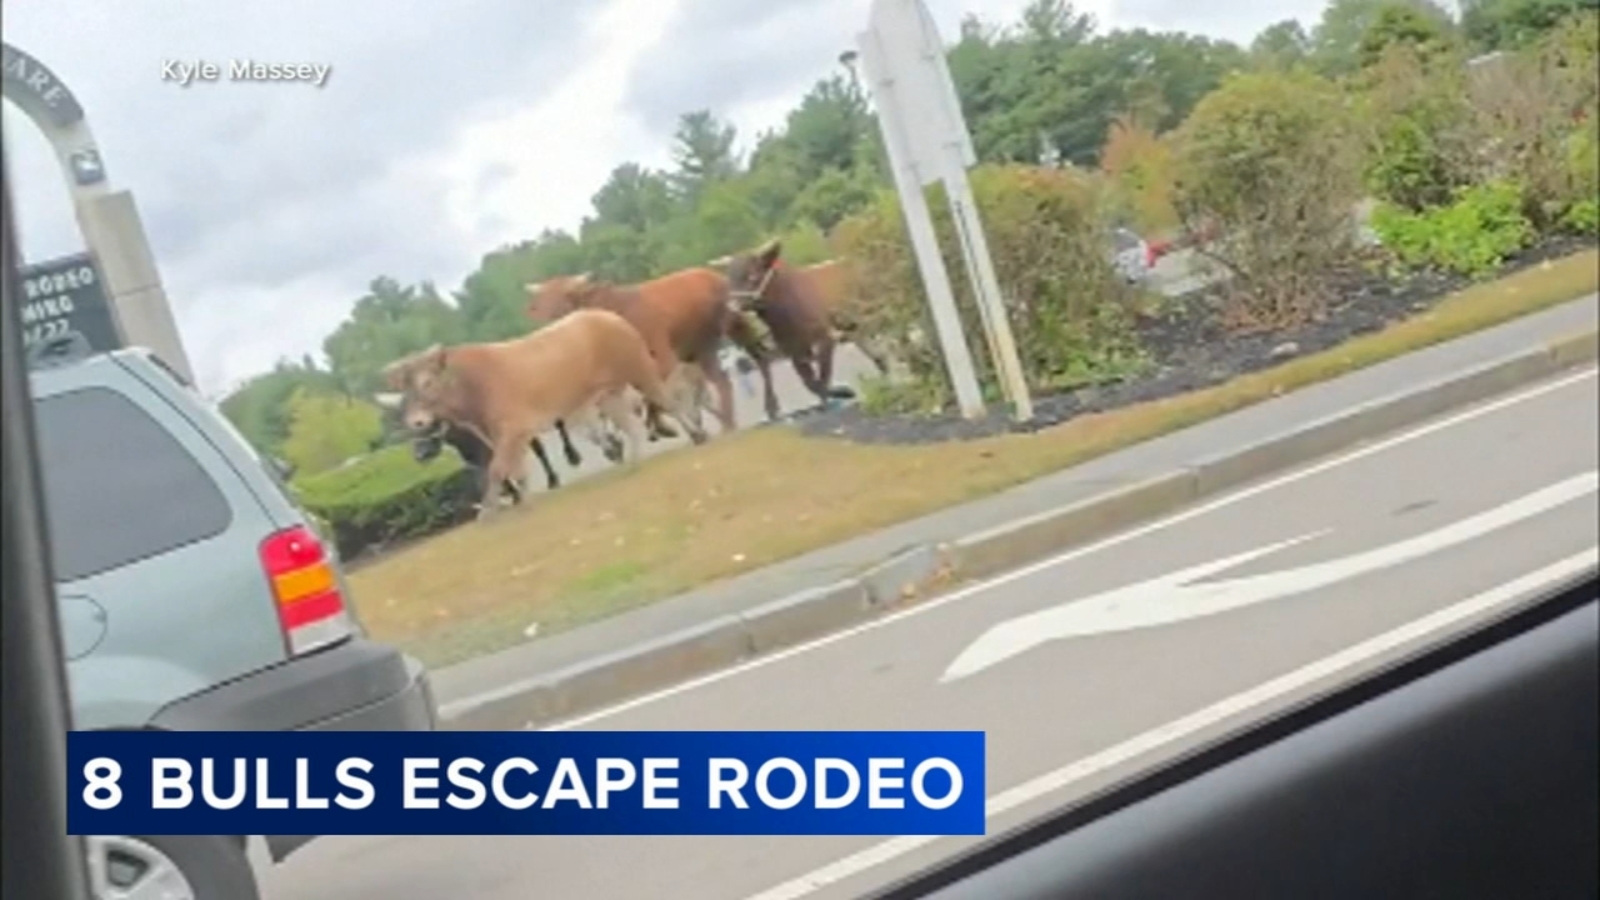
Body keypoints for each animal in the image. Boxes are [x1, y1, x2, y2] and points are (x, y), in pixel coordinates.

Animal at [377, 305, 704, 518]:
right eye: (405, 390)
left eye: (428, 382)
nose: (417, 421)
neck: (471, 385)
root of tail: (602, 314)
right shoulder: (501, 435)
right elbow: (512, 468)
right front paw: (524, 498)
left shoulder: (513, 429)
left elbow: (498, 469)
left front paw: (489, 512)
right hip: (608, 394)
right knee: (631, 424)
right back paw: (634, 463)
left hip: (639, 370)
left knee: (667, 401)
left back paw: (697, 434)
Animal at [524, 262, 780, 425]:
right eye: (543, 303)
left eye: (568, 296)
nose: (554, 323)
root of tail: (710, 274)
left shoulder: (663, 357)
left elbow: (663, 396)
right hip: (699, 347)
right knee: (722, 381)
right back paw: (727, 421)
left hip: (735, 327)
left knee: (760, 361)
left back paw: (768, 408)